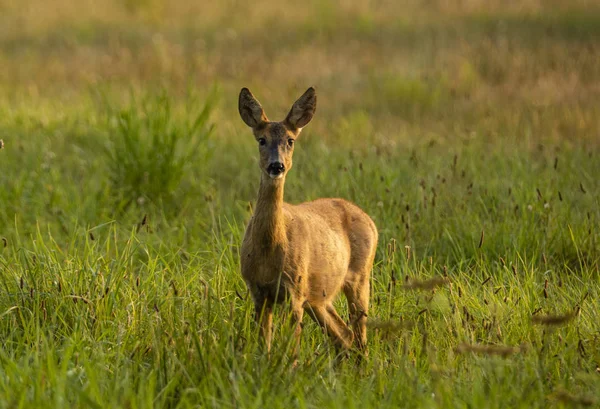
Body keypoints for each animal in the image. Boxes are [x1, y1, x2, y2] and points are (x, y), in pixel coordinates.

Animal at [237, 87, 378, 356]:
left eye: (290, 140)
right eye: (261, 140)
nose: (277, 165)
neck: (269, 251)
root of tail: (371, 222)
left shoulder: (295, 292)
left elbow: (292, 349)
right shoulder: (258, 291)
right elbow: (264, 345)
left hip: (359, 277)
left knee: (360, 338)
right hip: (318, 296)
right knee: (343, 335)